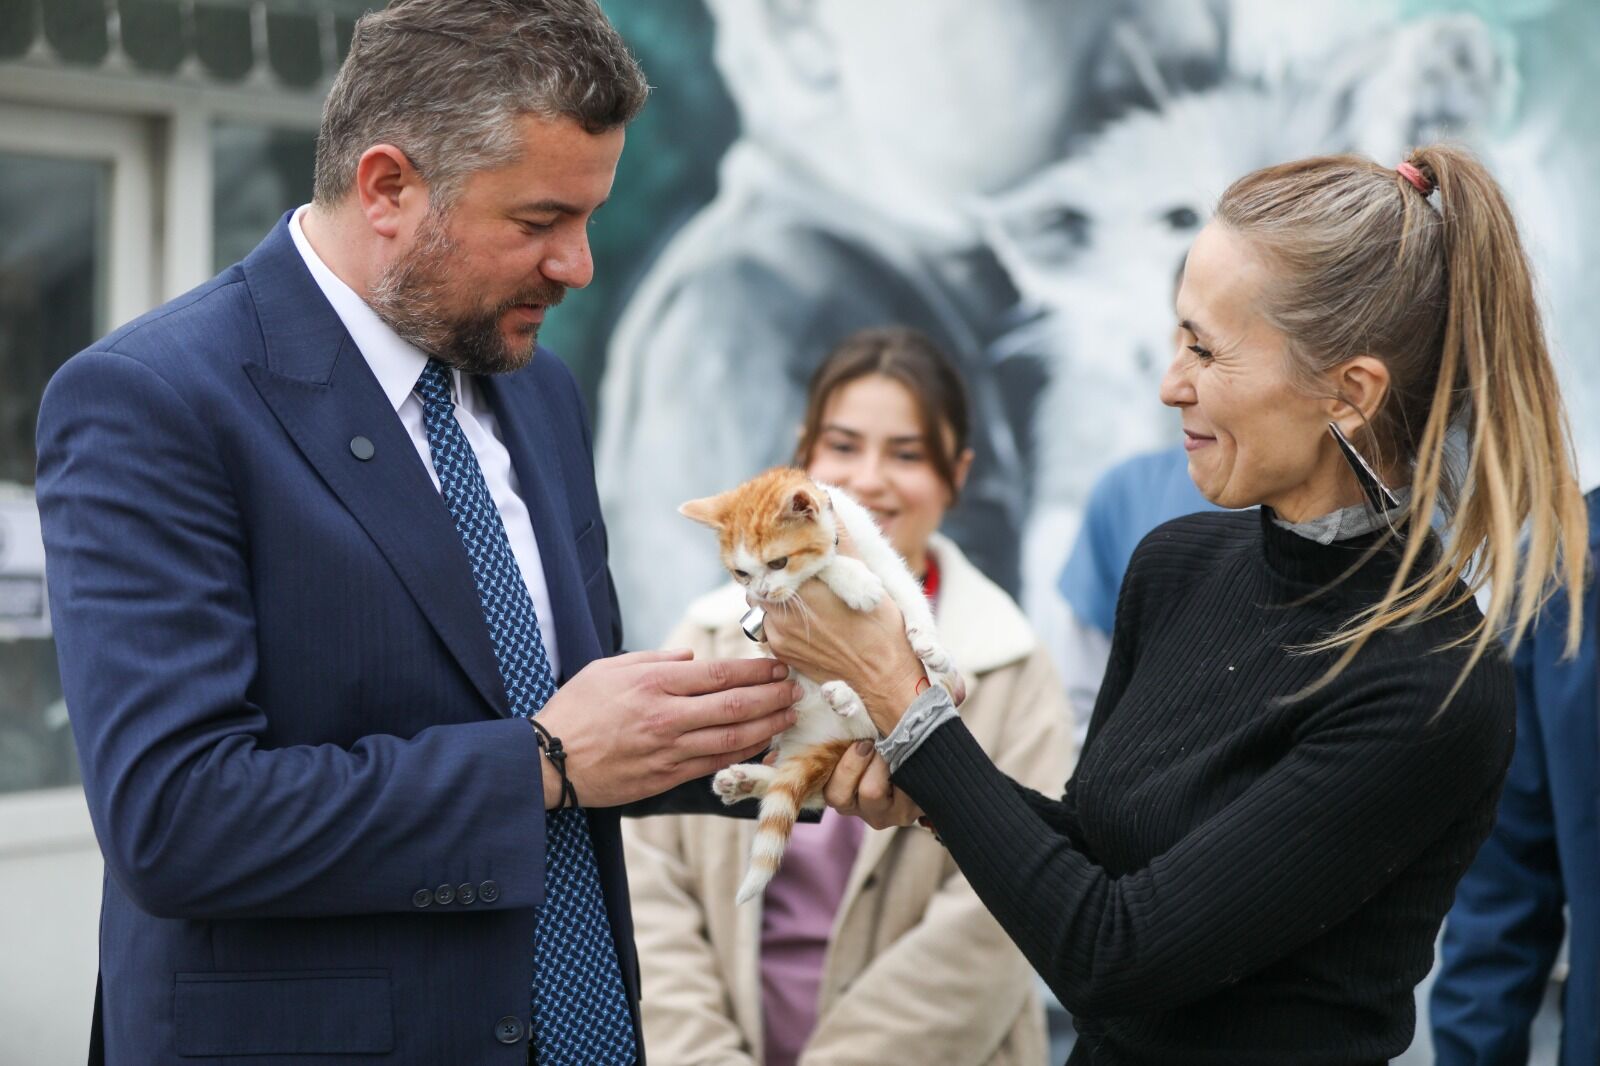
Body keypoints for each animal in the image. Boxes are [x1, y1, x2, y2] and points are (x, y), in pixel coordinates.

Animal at [678, 464, 953, 896]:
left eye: (778, 562)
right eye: (742, 573)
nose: (763, 591)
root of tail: (828, 739)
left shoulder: (882, 555)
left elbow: (908, 593)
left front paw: (932, 649)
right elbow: (823, 568)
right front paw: (853, 579)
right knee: (822, 778)